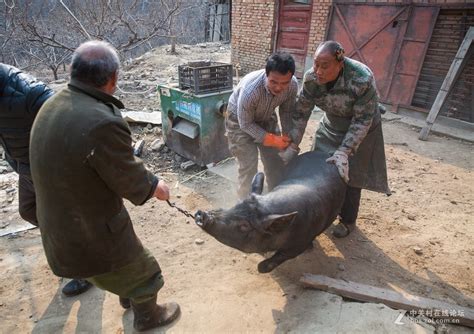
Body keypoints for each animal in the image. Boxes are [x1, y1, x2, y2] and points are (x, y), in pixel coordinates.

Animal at [194, 151, 346, 272]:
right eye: (236, 205)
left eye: (244, 226)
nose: (202, 214)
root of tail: (326, 153)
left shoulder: (299, 244)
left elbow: (280, 256)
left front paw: (262, 267)